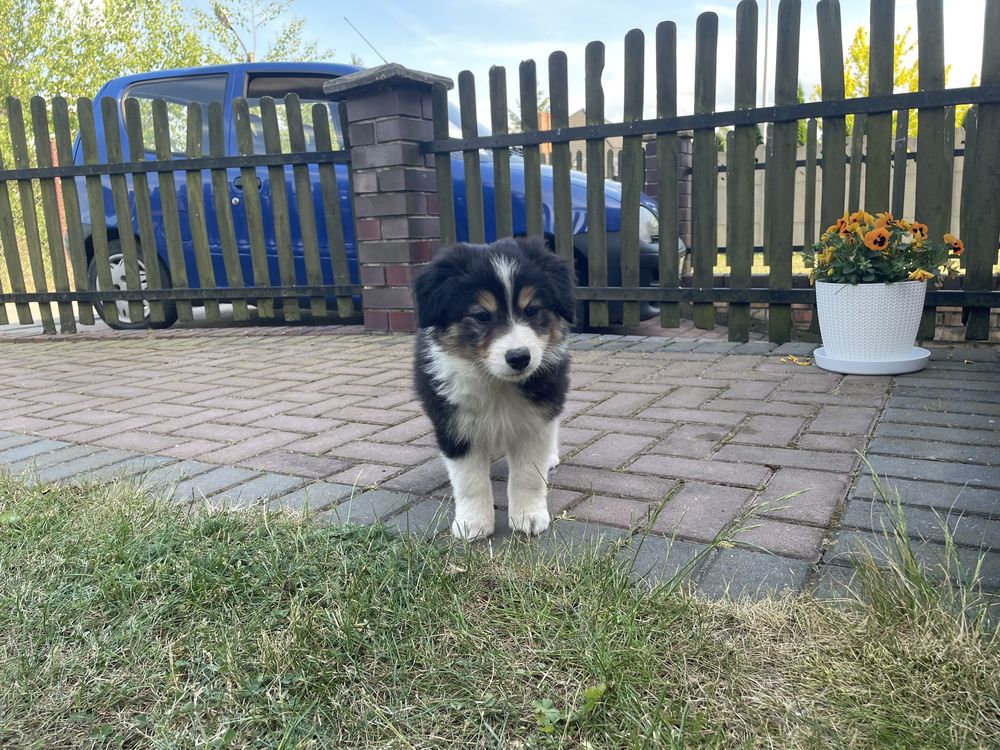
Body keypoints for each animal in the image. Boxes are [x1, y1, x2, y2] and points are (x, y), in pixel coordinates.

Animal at [412, 238, 572, 536]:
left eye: (531, 310)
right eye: (482, 315)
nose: (519, 357)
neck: (497, 382)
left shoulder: (536, 420)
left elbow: (528, 476)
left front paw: (528, 517)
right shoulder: (454, 424)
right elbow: (469, 481)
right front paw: (472, 523)